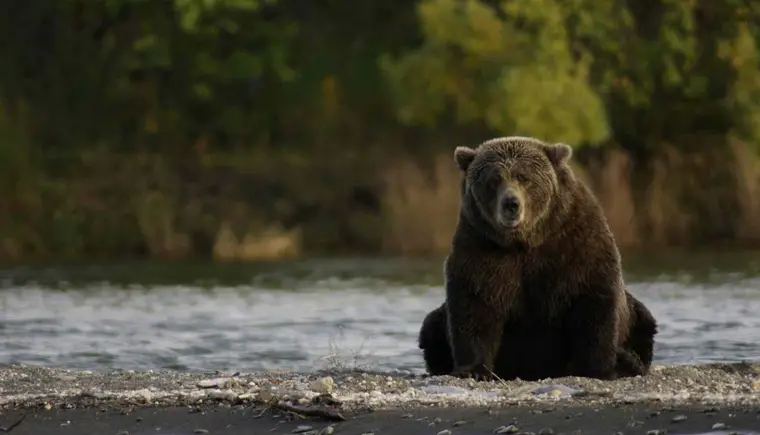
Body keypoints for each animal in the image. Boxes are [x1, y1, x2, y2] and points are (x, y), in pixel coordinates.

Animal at [418, 136, 656, 382]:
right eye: (493, 180)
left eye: (524, 177)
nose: (511, 204)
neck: (525, 241)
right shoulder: (481, 248)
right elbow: (475, 305)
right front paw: (473, 370)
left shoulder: (575, 244)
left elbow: (592, 302)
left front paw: (596, 369)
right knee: (431, 327)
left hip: (637, 317)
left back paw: (628, 361)